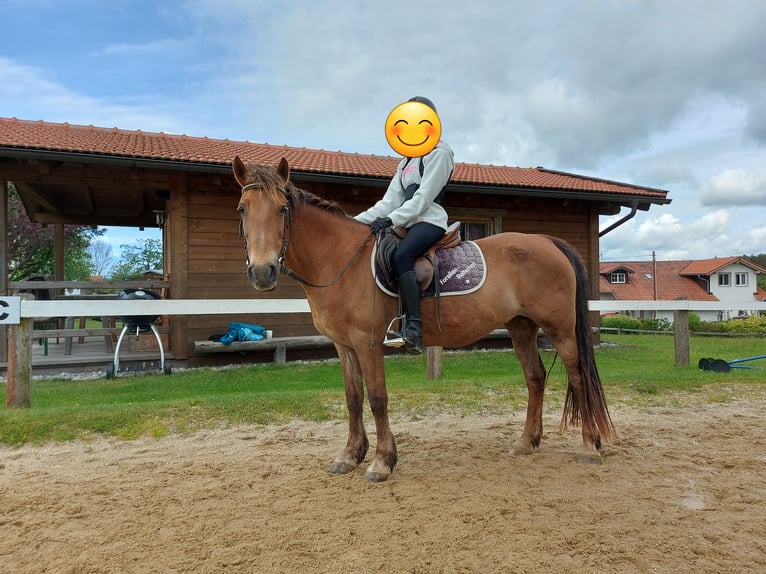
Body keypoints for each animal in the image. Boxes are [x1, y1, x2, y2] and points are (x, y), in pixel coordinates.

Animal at [234, 155, 616, 484]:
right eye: (242, 209)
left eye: (283, 209)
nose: (263, 272)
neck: (341, 260)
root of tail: (548, 242)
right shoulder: (343, 346)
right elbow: (353, 398)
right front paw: (350, 455)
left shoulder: (368, 342)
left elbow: (377, 398)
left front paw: (381, 461)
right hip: (521, 326)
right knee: (535, 377)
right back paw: (526, 442)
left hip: (560, 330)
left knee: (578, 377)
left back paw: (589, 447)